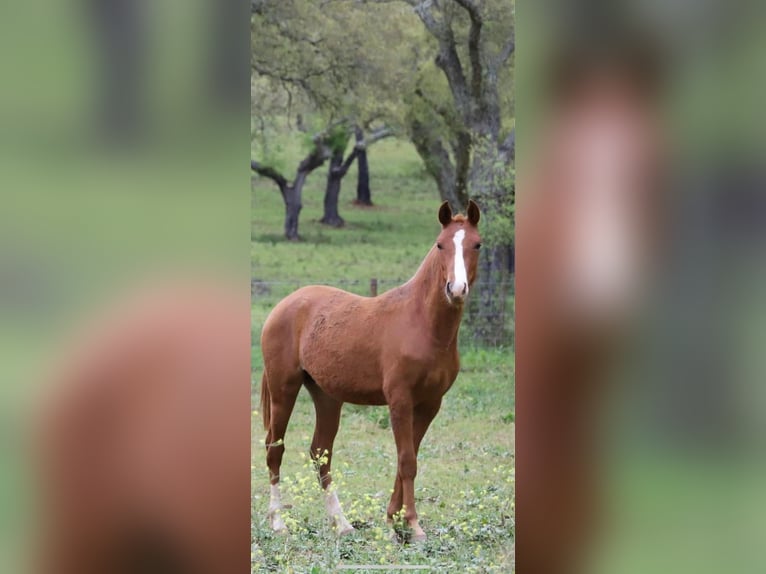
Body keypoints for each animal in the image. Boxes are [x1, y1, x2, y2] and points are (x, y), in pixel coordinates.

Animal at [260, 200, 481, 541]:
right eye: (440, 244)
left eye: (477, 244)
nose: (456, 289)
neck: (421, 324)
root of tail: (284, 305)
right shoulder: (400, 400)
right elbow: (407, 461)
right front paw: (411, 526)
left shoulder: (430, 404)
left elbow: (408, 458)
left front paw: (395, 520)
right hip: (283, 388)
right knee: (276, 448)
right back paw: (278, 522)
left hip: (326, 396)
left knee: (320, 453)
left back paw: (342, 524)